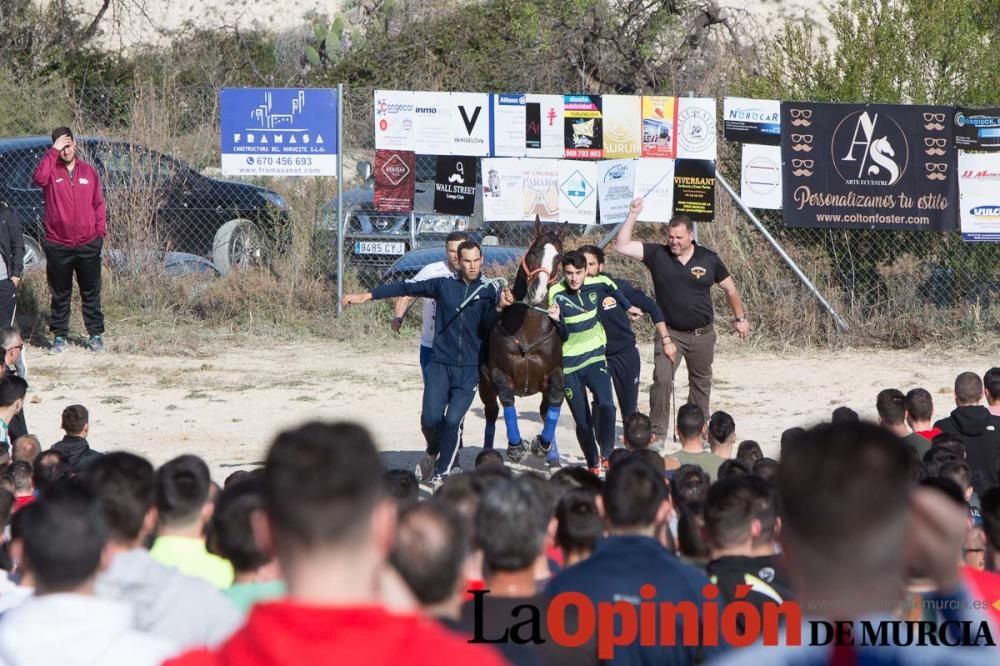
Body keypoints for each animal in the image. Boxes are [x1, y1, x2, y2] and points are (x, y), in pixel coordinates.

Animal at [480, 220, 568, 464]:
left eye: (559, 257)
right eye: (534, 251)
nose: (537, 291)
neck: (528, 331)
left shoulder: (554, 373)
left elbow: (555, 400)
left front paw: (542, 444)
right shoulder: (499, 374)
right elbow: (507, 399)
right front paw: (517, 446)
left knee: (545, 410)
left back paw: (551, 455)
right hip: (484, 386)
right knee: (491, 412)